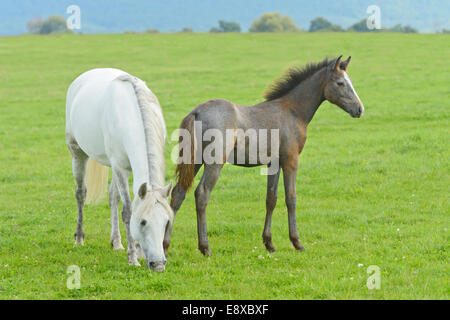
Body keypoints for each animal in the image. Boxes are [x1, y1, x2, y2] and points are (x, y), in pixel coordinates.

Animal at [66, 69, 173, 272]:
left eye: (166, 222)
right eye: (143, 222)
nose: (158, 264)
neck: (131, 118)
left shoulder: (121, 167)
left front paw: (137, 251)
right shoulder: (120, 168)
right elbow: (128, 211)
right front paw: (133, 258)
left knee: (112, 197)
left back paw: (116, 242)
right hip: (77, 152)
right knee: (80, 194)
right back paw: (79, 239)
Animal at [167, 55, 364, 255]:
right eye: (340, 83)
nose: (359, 109)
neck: (293, 111)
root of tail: (196, 112)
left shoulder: (274, 163)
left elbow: (271, 198)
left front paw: (269, 243)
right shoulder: (291, 160)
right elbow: (291, 198)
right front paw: (296, 242)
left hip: (194, 160)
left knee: (178, 193)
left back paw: (165, 246)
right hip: (214, 162)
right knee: (202, 194)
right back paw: (205, 247)